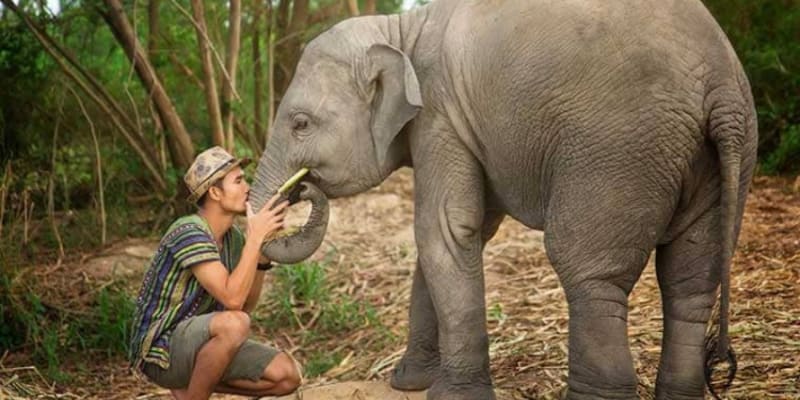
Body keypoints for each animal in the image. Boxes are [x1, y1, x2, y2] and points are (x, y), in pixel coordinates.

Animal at [249, 0, 758, 399]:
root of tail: (720, 86)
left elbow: (444, 228)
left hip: (619, 151)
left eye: (300, 123)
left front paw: (452, 395)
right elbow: (456, 236)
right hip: (717, 160)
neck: (402, 30)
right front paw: (410, 384)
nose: (301, 186)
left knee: (589, 273)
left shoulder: (440, 115)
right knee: (690, 283)